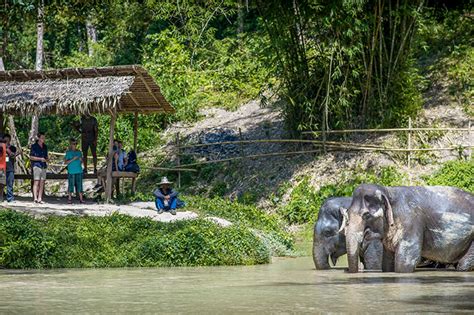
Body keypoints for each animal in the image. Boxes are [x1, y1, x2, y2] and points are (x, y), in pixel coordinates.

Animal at [344, 185, 474, 274]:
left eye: (366, 215)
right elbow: (387, 263)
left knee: (463, 265)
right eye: (347, 213)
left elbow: (405, 261)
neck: (388, 191)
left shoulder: (411, 221)